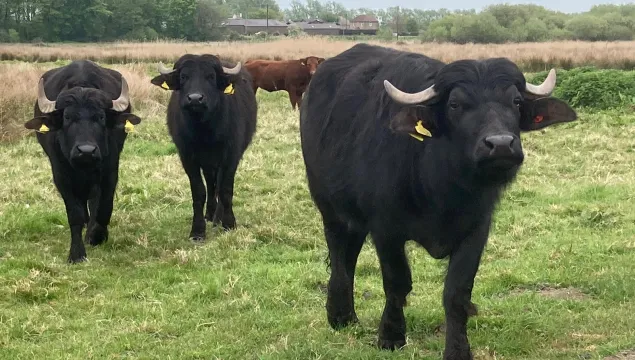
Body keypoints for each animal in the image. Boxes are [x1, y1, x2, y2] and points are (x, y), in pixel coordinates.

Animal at [24, 58, 142, 262]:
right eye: (67, 117)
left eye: (101, 116)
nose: (86, 151)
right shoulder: (61, 175)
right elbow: (75, 214)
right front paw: (77, 253)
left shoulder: (110, 170)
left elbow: (103, 207)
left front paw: (97, 236)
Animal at [150, 54, 258, 240]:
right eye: (184, 77)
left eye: (211, 77)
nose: (195, 99)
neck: (205, 131)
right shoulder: (187, 157)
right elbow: (199, 191)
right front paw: (198, 230)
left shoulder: (231, 156)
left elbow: (225, 189)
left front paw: (229, 223)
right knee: (210, 183)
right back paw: (210, 214)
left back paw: (218, 217)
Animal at [300, 43, 580, 358]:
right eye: (455, 104)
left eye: (516, 101)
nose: (500, 145)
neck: (443, 190)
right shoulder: (385, 229)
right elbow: (396, 282)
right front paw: (391, 336)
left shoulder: (476, 229)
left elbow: (457, 292)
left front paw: (458, 350)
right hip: (328, 205)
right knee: (339, 254)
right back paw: (340, 315)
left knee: (350, 252)